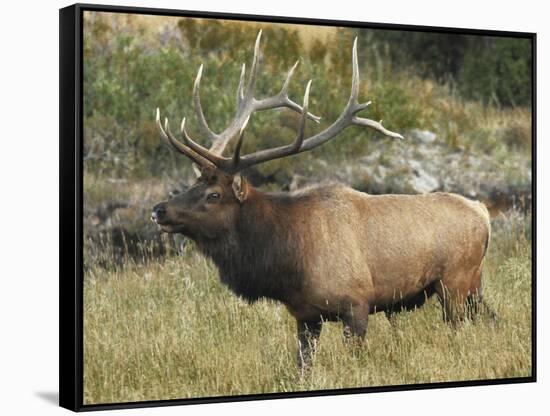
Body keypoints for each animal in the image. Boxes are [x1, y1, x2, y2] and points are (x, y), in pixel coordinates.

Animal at [152, 30, 496, 366]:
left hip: (455, 282)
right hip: (474, 284)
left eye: (214, 194)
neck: (288, 262)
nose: (159, 210)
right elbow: (302, 366)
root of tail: (483, 212)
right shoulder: (305, 316)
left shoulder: (357, 302)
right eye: (193, 183)